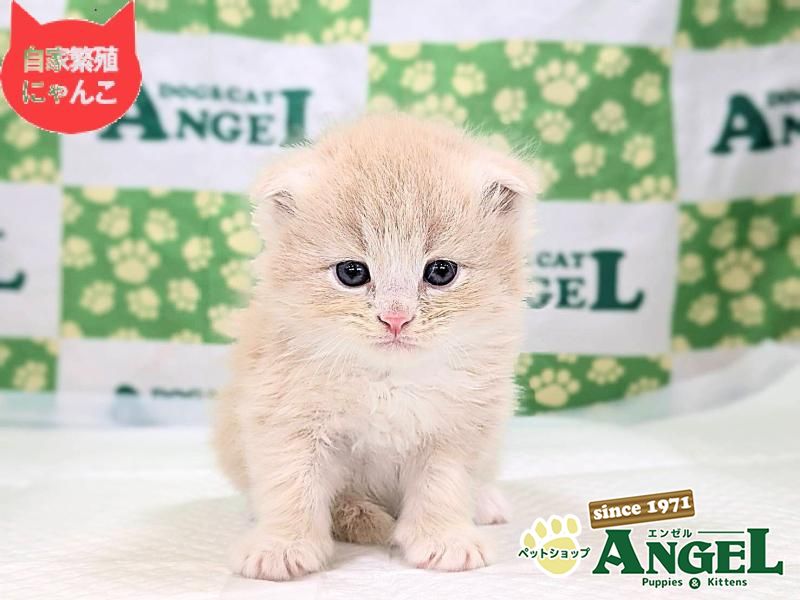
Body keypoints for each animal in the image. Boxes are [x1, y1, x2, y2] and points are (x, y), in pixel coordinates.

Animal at [213, 113, 537, 580]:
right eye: (352, 272)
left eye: (441, 272)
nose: (396, 318)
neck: (388, 380)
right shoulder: (283, 416)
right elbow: (290, 484)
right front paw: (282, 546)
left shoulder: (458, 427)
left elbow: (444, 486)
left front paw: (445, 540)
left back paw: (485, 501)